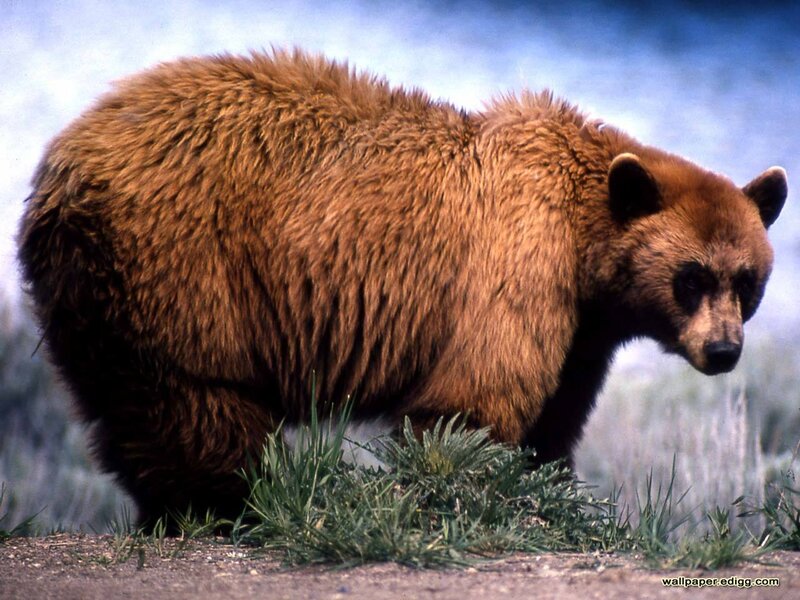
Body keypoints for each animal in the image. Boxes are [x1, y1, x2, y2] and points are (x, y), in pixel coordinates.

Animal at [17, 49, 788, 524]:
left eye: (747, 280)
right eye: (691, 277)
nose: (724, 351)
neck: (584, 247)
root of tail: (58, 165)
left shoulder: (581, 332)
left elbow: (555, 417)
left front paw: (548, 485)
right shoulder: (519, 268)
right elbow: (472, 402)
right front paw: (469, 492)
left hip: (99, 288)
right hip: (185, 267)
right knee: (196, 403)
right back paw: (225, 504)